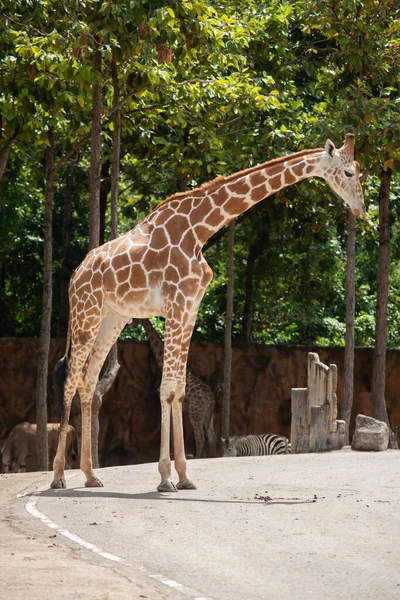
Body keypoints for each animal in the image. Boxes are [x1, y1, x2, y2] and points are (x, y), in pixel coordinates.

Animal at [137, 318, 216, 460]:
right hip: (208, 413)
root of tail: (212, 398)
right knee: (211, 436)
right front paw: (173, 455)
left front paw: (171, 456)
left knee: (201, 437)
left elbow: (170, 431)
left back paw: (197, 457)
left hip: (196, 411)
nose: (130, 322)